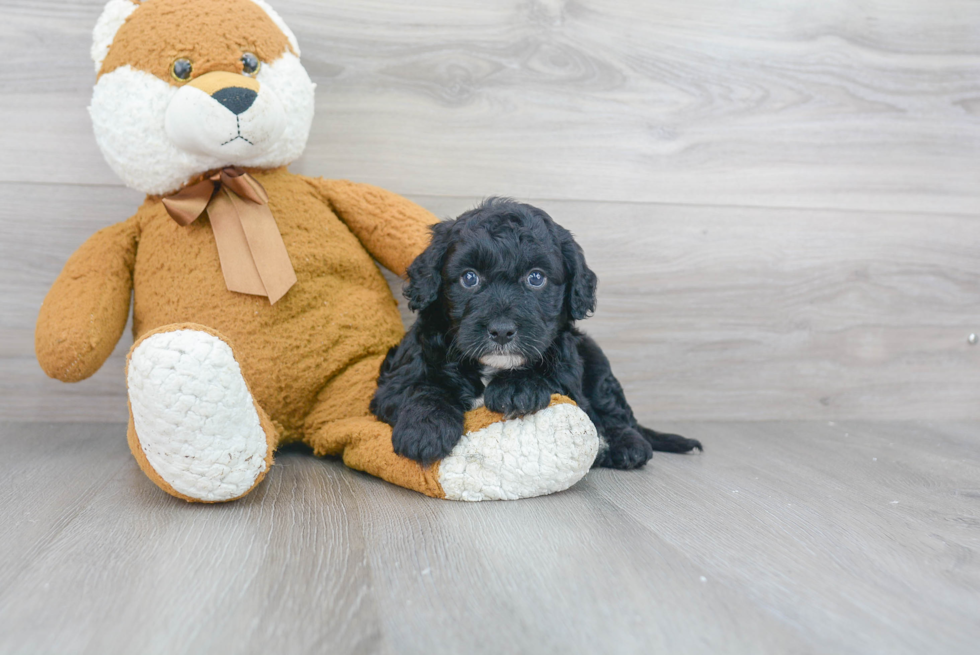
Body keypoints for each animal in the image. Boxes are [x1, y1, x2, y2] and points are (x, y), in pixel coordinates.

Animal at [372, 199, 700, 466]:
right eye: (469, 278)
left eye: (536, 278)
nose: (502, 331)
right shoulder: (395, 381)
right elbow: (422, 388)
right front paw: (425, 429)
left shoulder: (569, 379)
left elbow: (552, 378)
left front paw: (519, 387)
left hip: (595, 360)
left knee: (614, 413)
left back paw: (627, 446)